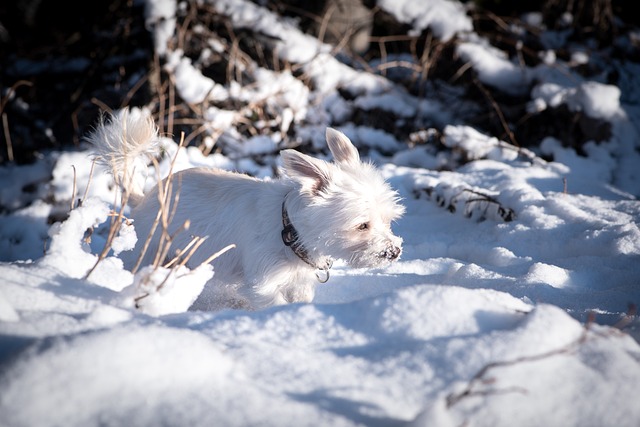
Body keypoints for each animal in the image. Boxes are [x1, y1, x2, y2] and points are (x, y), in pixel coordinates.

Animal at [89, 109, 404, 310]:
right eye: (362, 225)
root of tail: (144, 197)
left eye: (388, 220)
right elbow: (273, 303)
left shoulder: (300, 282)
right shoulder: (263, 283)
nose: (394, 251)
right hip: (153, 254)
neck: (289, 233)